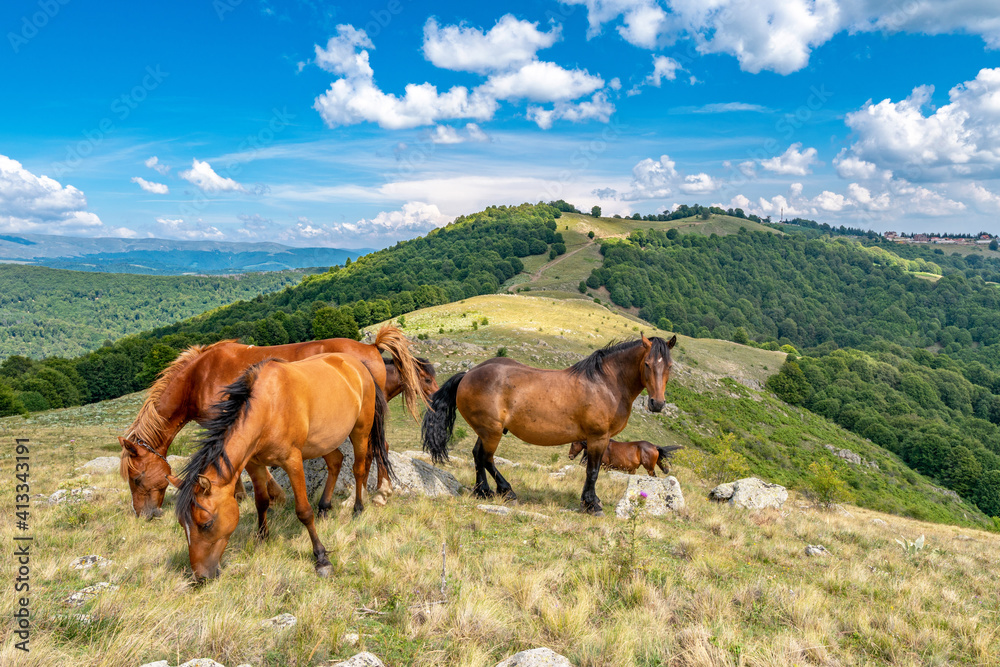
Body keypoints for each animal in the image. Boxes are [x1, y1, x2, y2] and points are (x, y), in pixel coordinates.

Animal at [120, 326, 426, 520]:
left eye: (136, 478)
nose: (142, 514)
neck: (200, 377)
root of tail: (371, 347)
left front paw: (266, 495)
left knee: (376, 449)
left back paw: (379, 492)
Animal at [172, 352, 390, 580]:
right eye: (182, 524)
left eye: (206, 524)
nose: (200, 577)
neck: (268, 407)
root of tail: (358, 364)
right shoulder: (255, 465)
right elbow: (261, 502)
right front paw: (262, 537)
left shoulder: (292, 461)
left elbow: (304, 511)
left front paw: (321, 558)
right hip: (324, 441)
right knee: (336, 462)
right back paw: (324, 507)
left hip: (360, 431)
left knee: (358, 469)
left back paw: (358, 509)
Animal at [418, 334, 676, 516]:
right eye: (647, 364)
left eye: (669, 366)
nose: (657, 403)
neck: (605, 383)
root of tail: (468, 374)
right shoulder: (598, 438)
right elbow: (592, 472)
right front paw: (591, 505)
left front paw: (591, 501)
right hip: (492, 431)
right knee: (486, 457)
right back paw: (505, 491)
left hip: (486, 431)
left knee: (477, 455)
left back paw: (484, 491)